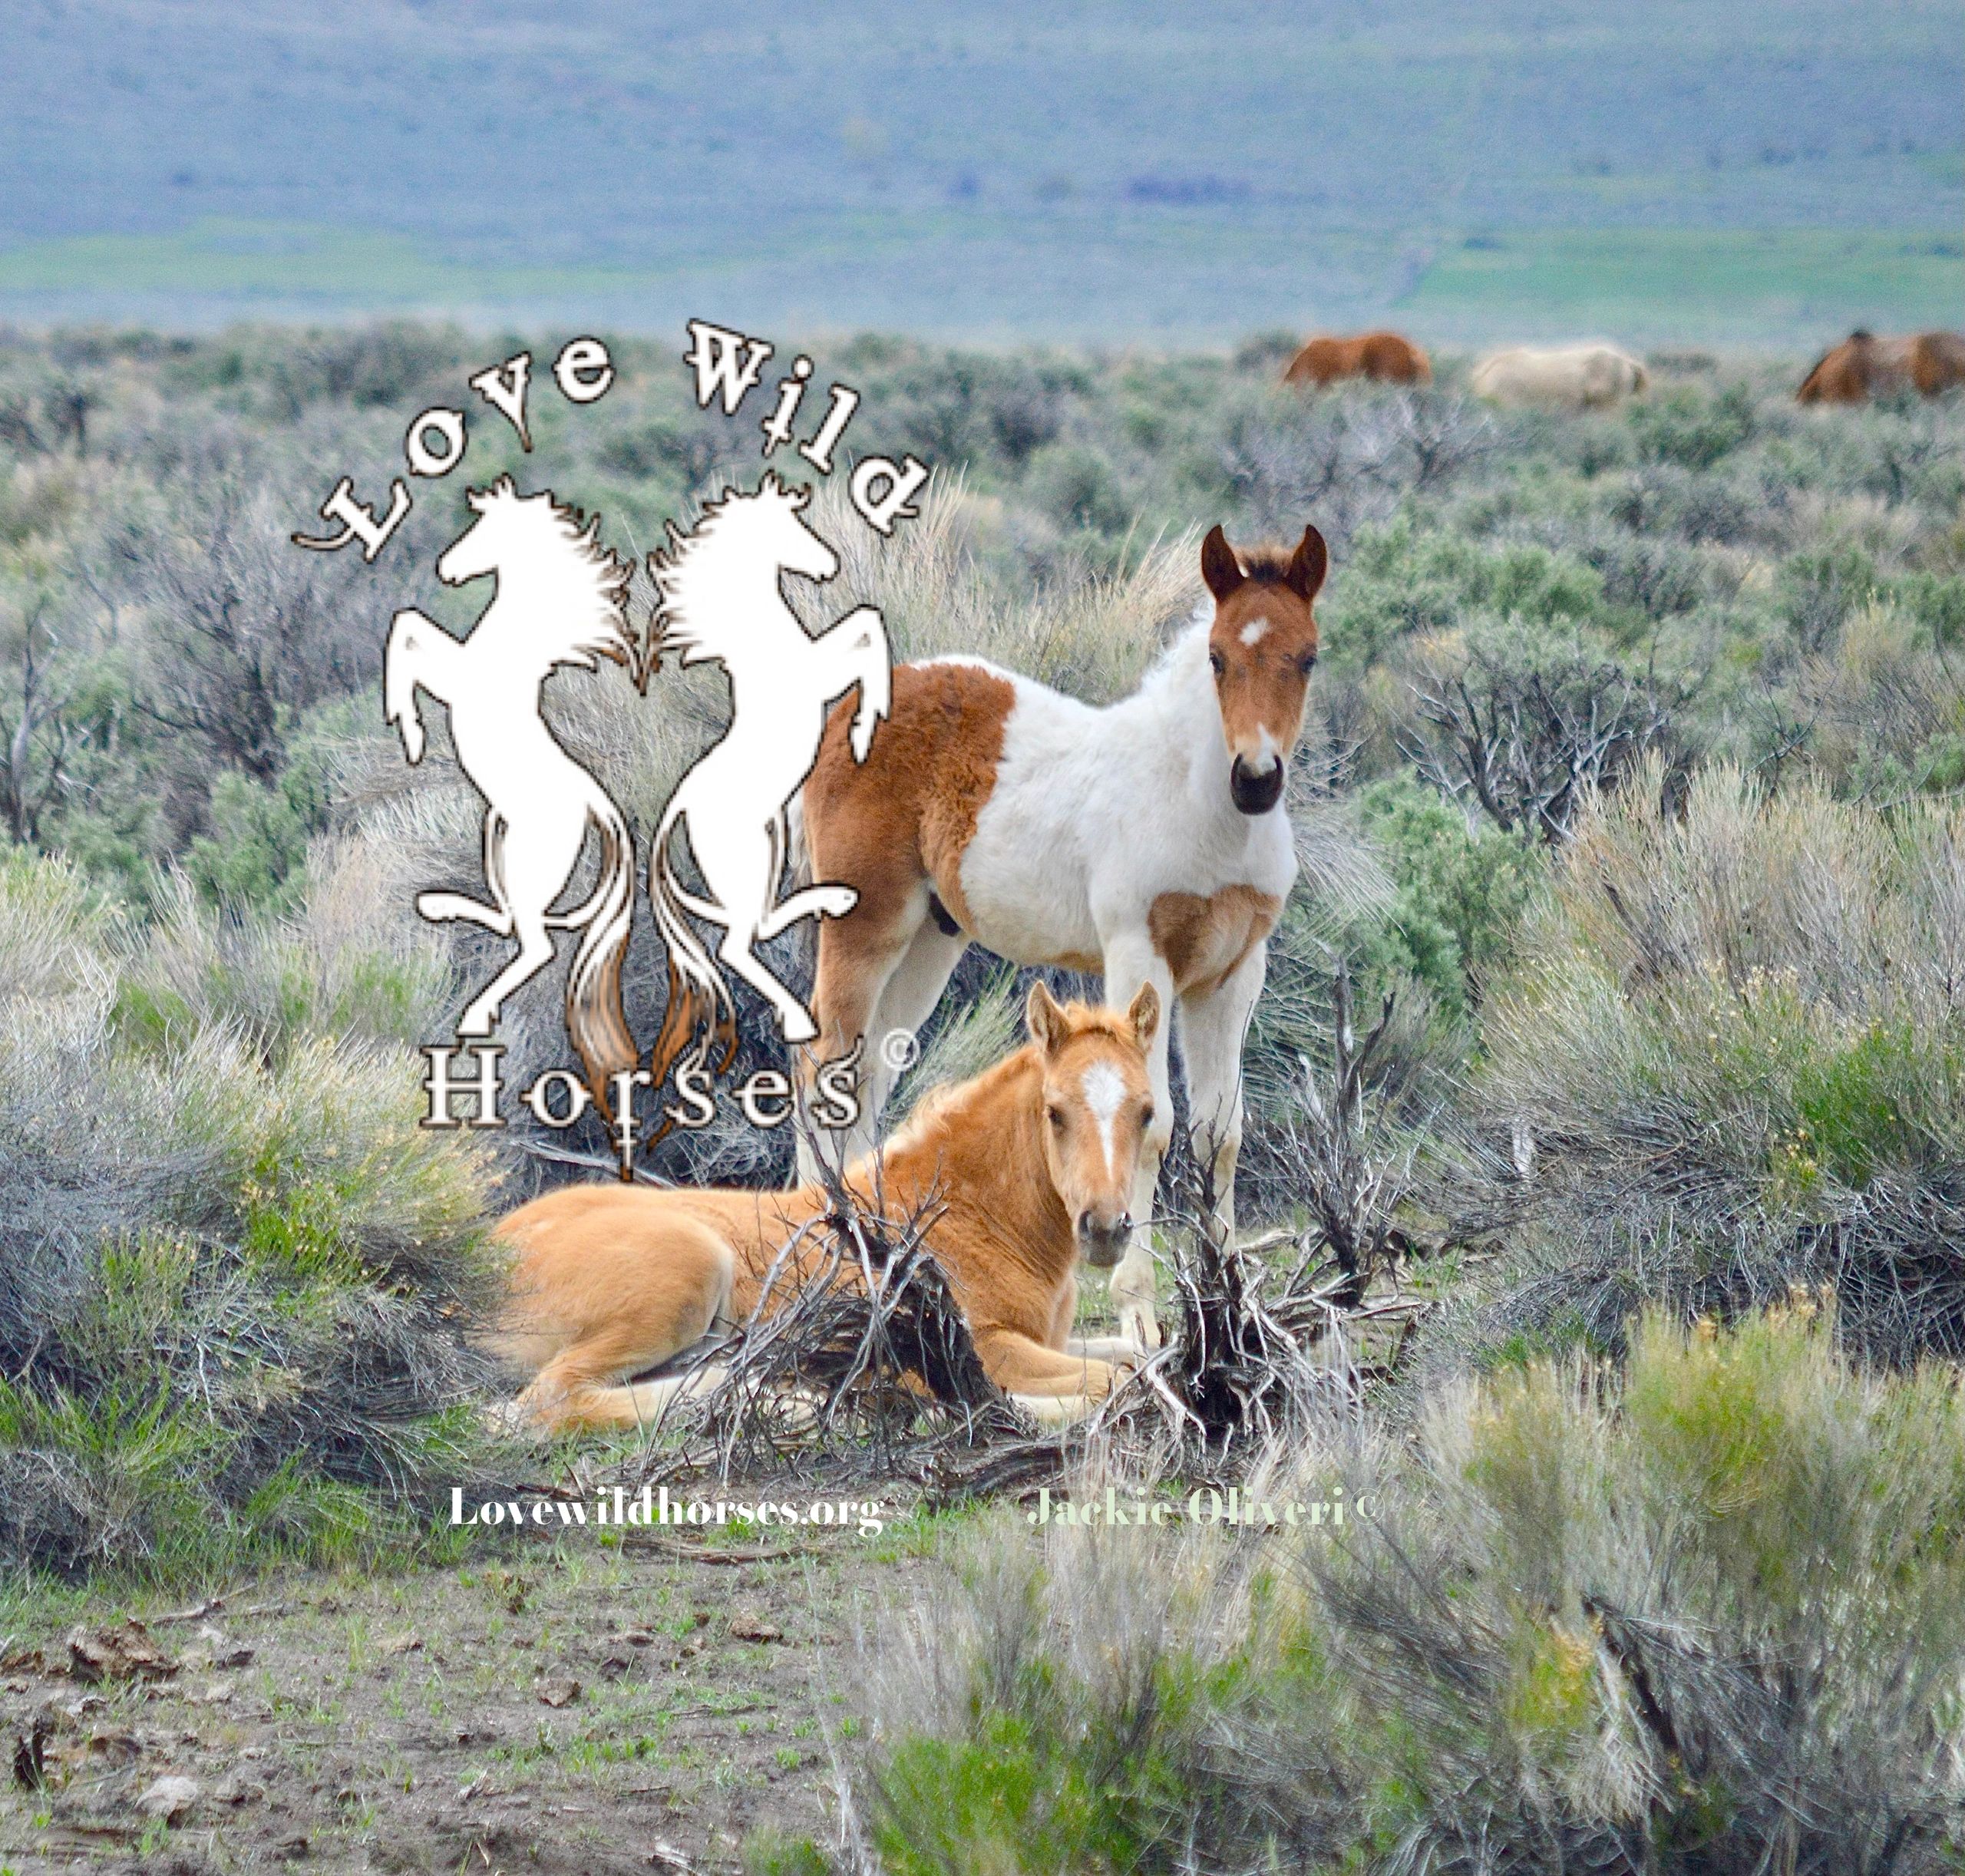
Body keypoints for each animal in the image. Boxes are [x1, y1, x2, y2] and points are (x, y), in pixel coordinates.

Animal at [383, 477, 637, 1105]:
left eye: (485, 530)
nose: (446, 569)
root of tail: (596, 804)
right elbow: (409, 625)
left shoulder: (455, 678)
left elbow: (406, 629)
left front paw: (411, 731)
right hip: (495, 835)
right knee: (513, 922)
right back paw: (438, 905)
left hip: (526, 856)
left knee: (536, 941)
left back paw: (476, 1015)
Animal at [487, 981, 1160, 1431]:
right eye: (1055, 1111)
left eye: (1147, 1111)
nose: (1105, 1228)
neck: (971, 1214)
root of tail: (487, 1256)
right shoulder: (985, 1344)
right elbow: (1117, 1378)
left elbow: (1136, 1354)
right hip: (686, 1274)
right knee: (545, 1402)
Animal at [642, 472, 892, 1096]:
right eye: (789, 526)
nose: (828, 564)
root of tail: (678, 808)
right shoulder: (819, 671)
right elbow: (869, 625)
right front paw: (864, 728)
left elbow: (867, 624)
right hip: (747, 855)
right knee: (738, 943)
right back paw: (801, 1018)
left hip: (774, 838)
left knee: (759, 922)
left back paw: (836, 897)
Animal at [793, 522, 1326, 1351]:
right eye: (1217, 657)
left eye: (1306, 657)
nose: (1256, 779)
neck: (1196, 804)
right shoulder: (1138, 953)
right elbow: (1155, 1121)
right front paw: (1142, 1319)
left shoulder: (1234, 972)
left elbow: (1221, 1132)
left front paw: (1229, 1308)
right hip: (865, 924)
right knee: (822, 1070)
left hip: (929, 944)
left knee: (871, 1076)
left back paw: (876, 1249)